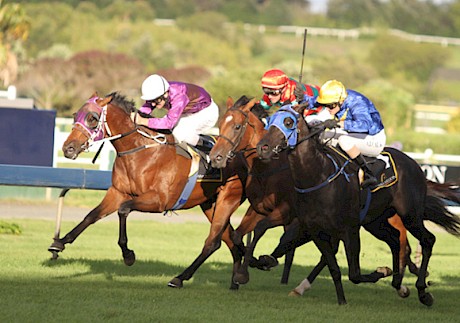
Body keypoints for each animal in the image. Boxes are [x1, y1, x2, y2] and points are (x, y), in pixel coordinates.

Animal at [49, 92, 266, 292]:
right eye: (75, 115)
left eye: (92, 118)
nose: (68, 148)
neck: (140, 151)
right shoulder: (117, 192)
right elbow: (91, 216)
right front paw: (59, 243)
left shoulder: (159, 200)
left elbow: (123, 210)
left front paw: (128, 255)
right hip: (209, 203)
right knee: (229, 238)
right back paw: (237, 278)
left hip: (228, 198)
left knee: (214, 242)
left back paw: (180, 278)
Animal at [210, 96, 422, 292]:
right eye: (220, 124)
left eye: (237, 126)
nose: (215, 157)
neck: (271, 168)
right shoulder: (260, 209)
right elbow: (238, 235)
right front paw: (253, 264)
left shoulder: (288, 212)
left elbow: (263, 230)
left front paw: (248, 271)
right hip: (374, 220)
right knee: (395, 240)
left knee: (402, 241)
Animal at [256, 104, 460, 306]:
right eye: (270, 120)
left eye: (288, 122)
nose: (262, 148)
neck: (318, 176)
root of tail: (415, 164)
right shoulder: (316, 231)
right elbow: (333, 267)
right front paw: (341, 300)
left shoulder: (349, 229)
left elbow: (354, 274)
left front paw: (381, 271)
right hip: (376, 221)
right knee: (395, 240)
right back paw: (399, 284)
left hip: (410, 215)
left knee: (427, 240)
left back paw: (422, 291)